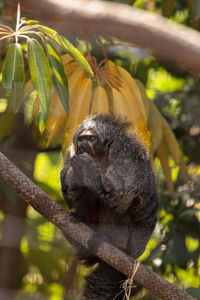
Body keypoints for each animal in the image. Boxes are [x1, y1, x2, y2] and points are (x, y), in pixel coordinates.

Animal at [59, 114, 158, 300]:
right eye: (81, 139)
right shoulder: (71, 153)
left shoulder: (126, 154)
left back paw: (112, 240)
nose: (83, 144)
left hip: (131, 243)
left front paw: (86, 167)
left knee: (118, 209)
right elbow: (70, 194)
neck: (100, 156)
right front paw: (73, 173)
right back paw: (81, 219)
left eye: (90, 138)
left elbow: (121, 197)